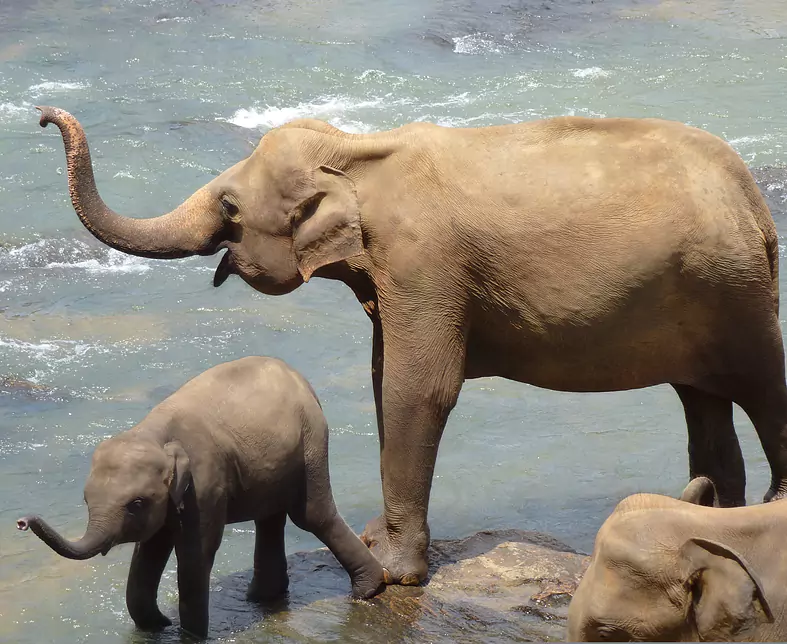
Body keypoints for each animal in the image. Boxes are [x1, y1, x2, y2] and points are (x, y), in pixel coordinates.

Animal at [16, 356, 385, 638]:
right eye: (85, 501)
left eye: (136, 503)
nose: (21, 521)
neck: (154, 433)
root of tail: (301, 379)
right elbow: (149, 551)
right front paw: (157, 627)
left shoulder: (205, 483)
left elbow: (195, 553)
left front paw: (188, 636)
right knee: (270, 518)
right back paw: (263, 599)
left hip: (311, 444)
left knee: (311, 515)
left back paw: (367, 591)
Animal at [36, 105, 787, 586]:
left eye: (228, 208)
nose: (43, 117)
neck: (356, 152)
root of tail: (752, 195)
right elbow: (379, 377)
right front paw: (378, 547)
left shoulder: (427, 266)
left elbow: (416, 386)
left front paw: (395, 574)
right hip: (702, 290)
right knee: (703, 401)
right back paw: (713, 512)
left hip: (737, 291)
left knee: (762, 389)